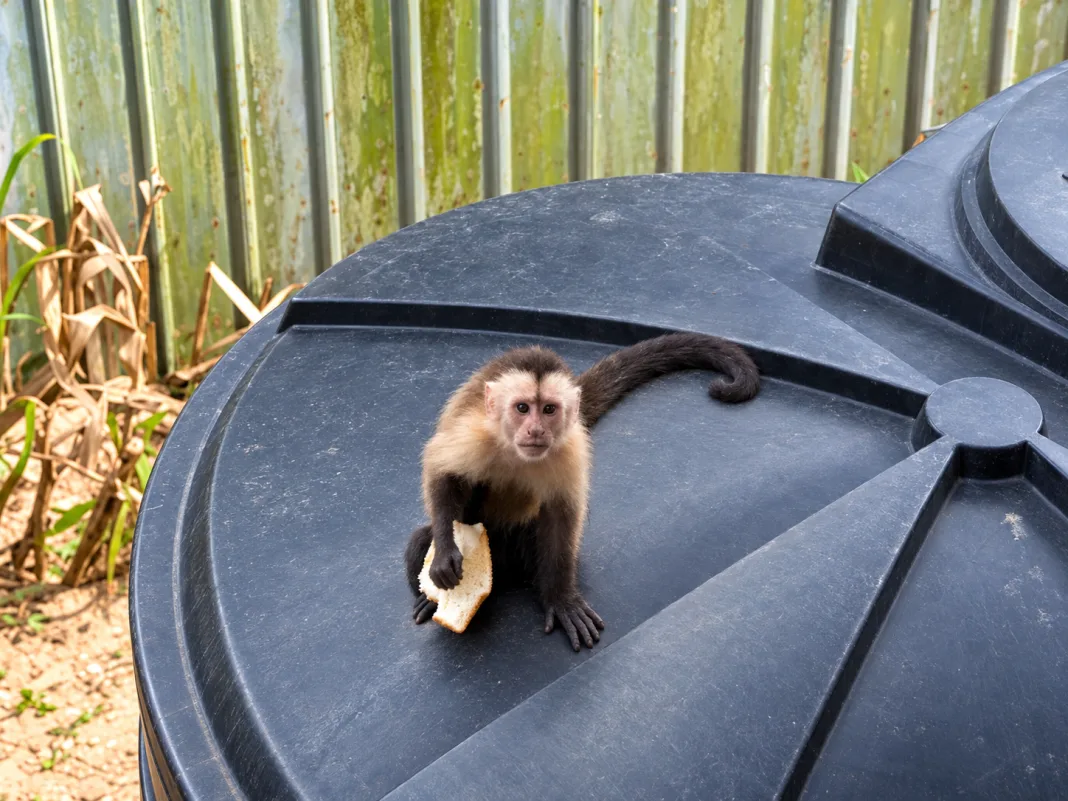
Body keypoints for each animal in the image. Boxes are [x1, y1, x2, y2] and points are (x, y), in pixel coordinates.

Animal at [404, 332, 760, 651]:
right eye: (522, 408)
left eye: (549, 409)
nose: (536, 430)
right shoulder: (474, 433)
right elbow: (441, 471)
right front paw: (445, 553)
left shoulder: (572, 448)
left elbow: (562, 519)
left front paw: (561, 599)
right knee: (423, 537)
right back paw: (429, 593)